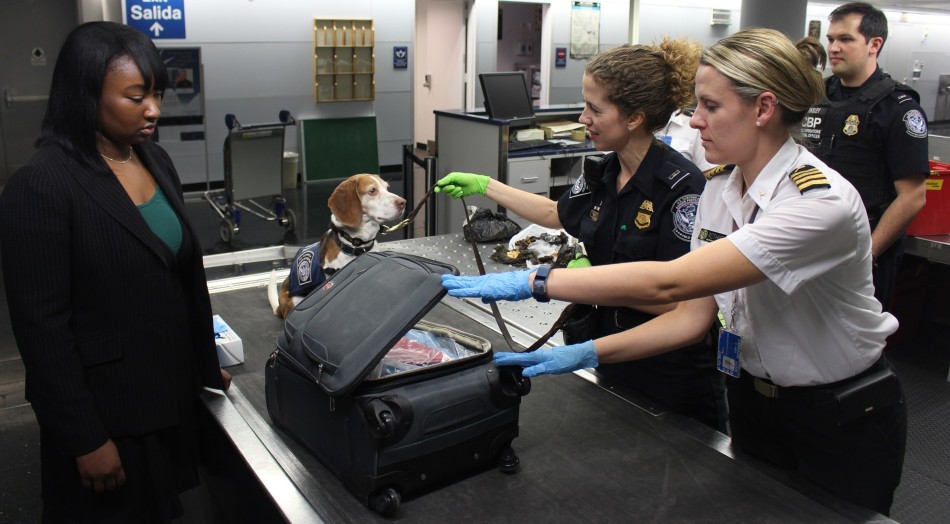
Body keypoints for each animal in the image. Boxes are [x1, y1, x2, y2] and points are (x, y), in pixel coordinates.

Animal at [268, 174, 406, 318]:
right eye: (372, 190)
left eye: (387, 188)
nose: (403, 202)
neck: (356, 244)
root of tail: (280, 307)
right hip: (296, 300)